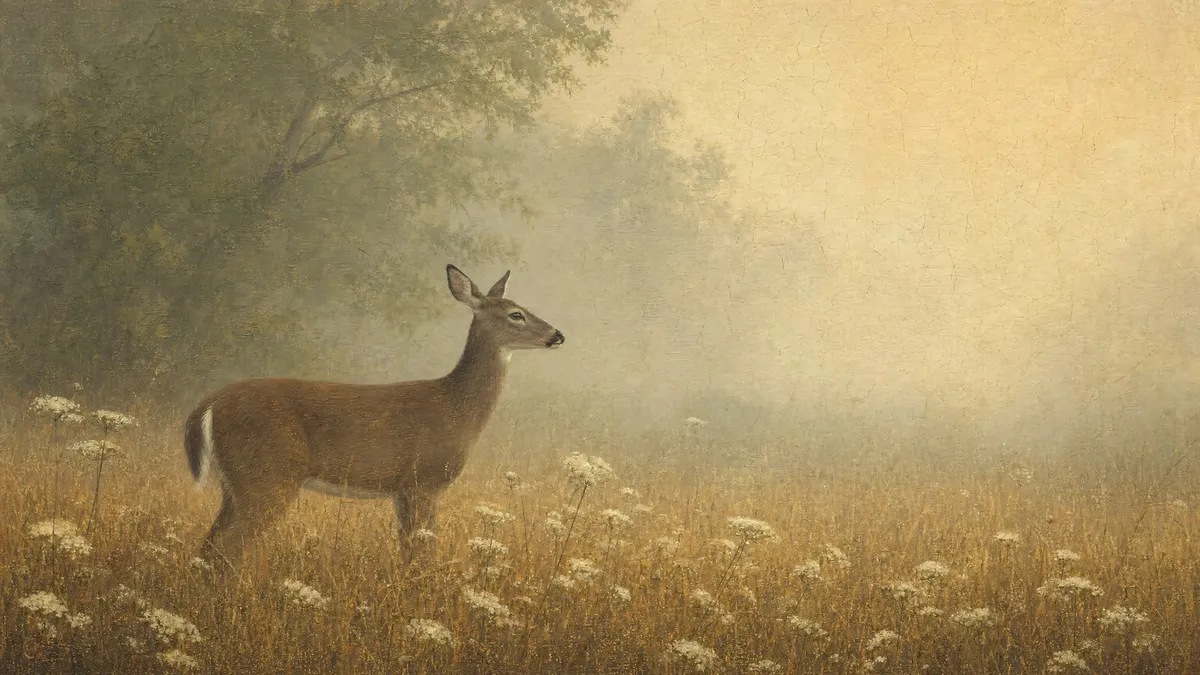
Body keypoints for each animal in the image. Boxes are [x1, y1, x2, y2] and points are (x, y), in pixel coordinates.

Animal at [183, 265, 564, 569]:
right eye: (516, 314)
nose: (557, 335)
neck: (456, 406)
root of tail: (209, 403)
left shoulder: (403, 490)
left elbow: (410, 554)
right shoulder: (424, 481)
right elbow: (423, 556)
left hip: (235, 484)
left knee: (208, 547)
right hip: (267, 477)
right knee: (227, 548)